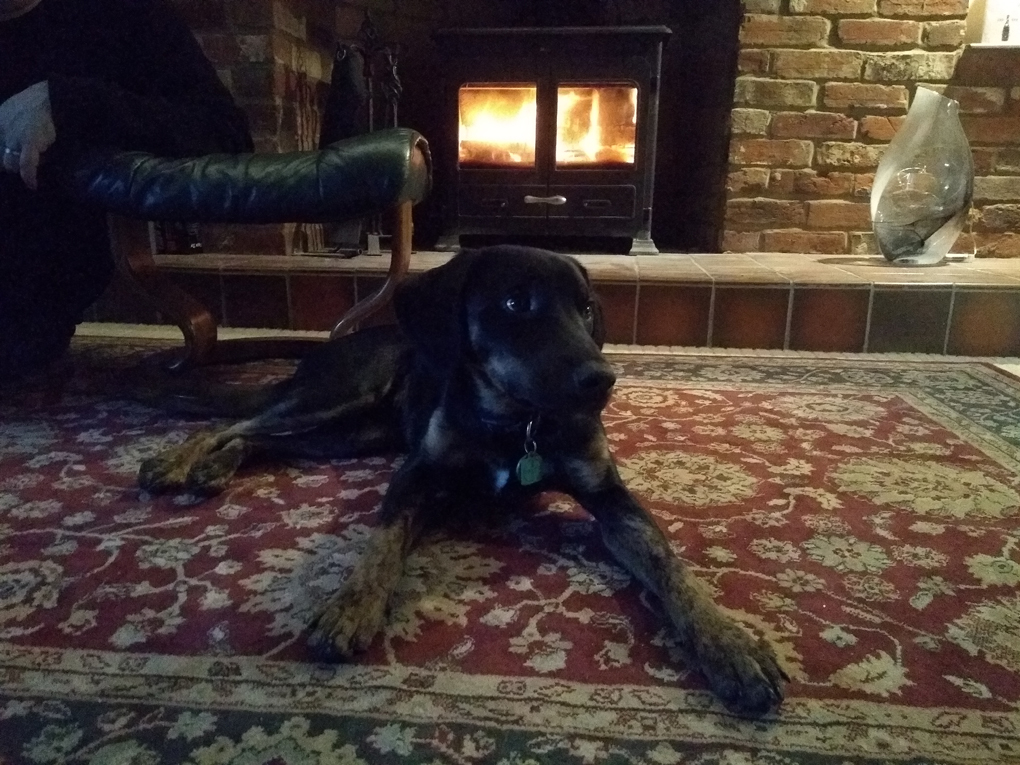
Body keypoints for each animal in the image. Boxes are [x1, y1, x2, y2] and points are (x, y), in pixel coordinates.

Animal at [137, 246, 787, 718]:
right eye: (515, 302)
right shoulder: (417, 476)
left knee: (261, 438)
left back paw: (214, 467)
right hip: (340, 395)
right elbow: (379, 547)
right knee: (235, 420)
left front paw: (734, 648)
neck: (517, 423)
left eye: (586, 308)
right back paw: (176, 461)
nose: (602, 380)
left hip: (353, 434)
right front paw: (350, 608)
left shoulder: (609, 495)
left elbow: (671, 566)